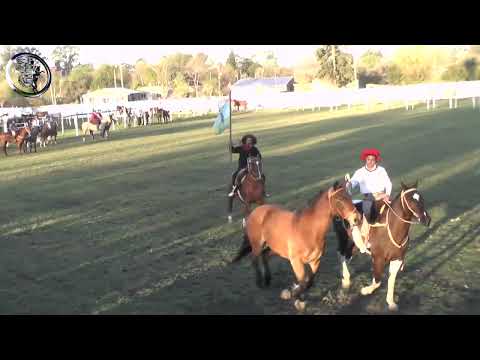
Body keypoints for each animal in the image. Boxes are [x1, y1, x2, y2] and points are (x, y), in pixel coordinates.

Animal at [232, 181, 360, 310]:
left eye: (349, 197)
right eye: (339, 200)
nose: (356, 218)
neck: (309, 230)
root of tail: (255, 212)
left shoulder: (315, 261)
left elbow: (309, 282)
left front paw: (297, 295)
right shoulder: (296, 261)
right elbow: (302, 281)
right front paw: (295, 296)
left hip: (274, 248)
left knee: (265, 256)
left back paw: (268, 280)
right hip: (257, 245)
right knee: (254, 259)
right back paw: (259, 283)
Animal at [334, 181, 432, 310]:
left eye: (422, 199)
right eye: (410, 200)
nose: (427, 220)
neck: (392, 230)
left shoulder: (397, 259)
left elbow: (391, 280)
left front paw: (391, 302)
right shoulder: (378, 259)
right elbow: (377, 281)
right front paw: (365, 290)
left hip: (354, 246)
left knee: (346, 257)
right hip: (345, 241)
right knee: (341, 255)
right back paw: (345, 279)